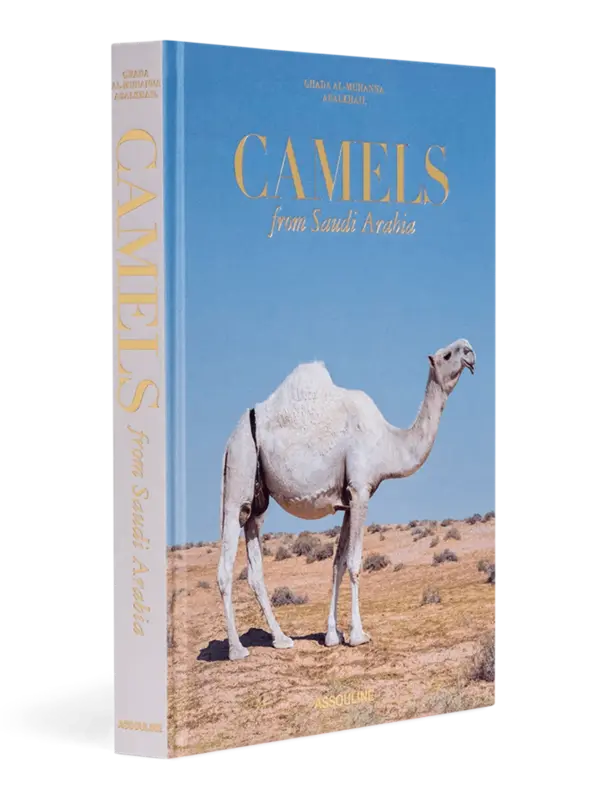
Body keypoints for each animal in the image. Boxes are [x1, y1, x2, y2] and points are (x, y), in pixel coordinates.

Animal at [216, 339, 476, 660]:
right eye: (447, 354)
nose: (470, 350)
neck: (389, 443)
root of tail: (230, 439)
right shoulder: (361, 490)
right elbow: (354, 562)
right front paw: (357, 635)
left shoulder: (348, 500)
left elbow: (336, 563)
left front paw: (332, 635)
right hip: (239, 470)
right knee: (225, 564)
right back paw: (237, 649)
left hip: (257, 496)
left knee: (255, 564)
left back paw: (281, 638)